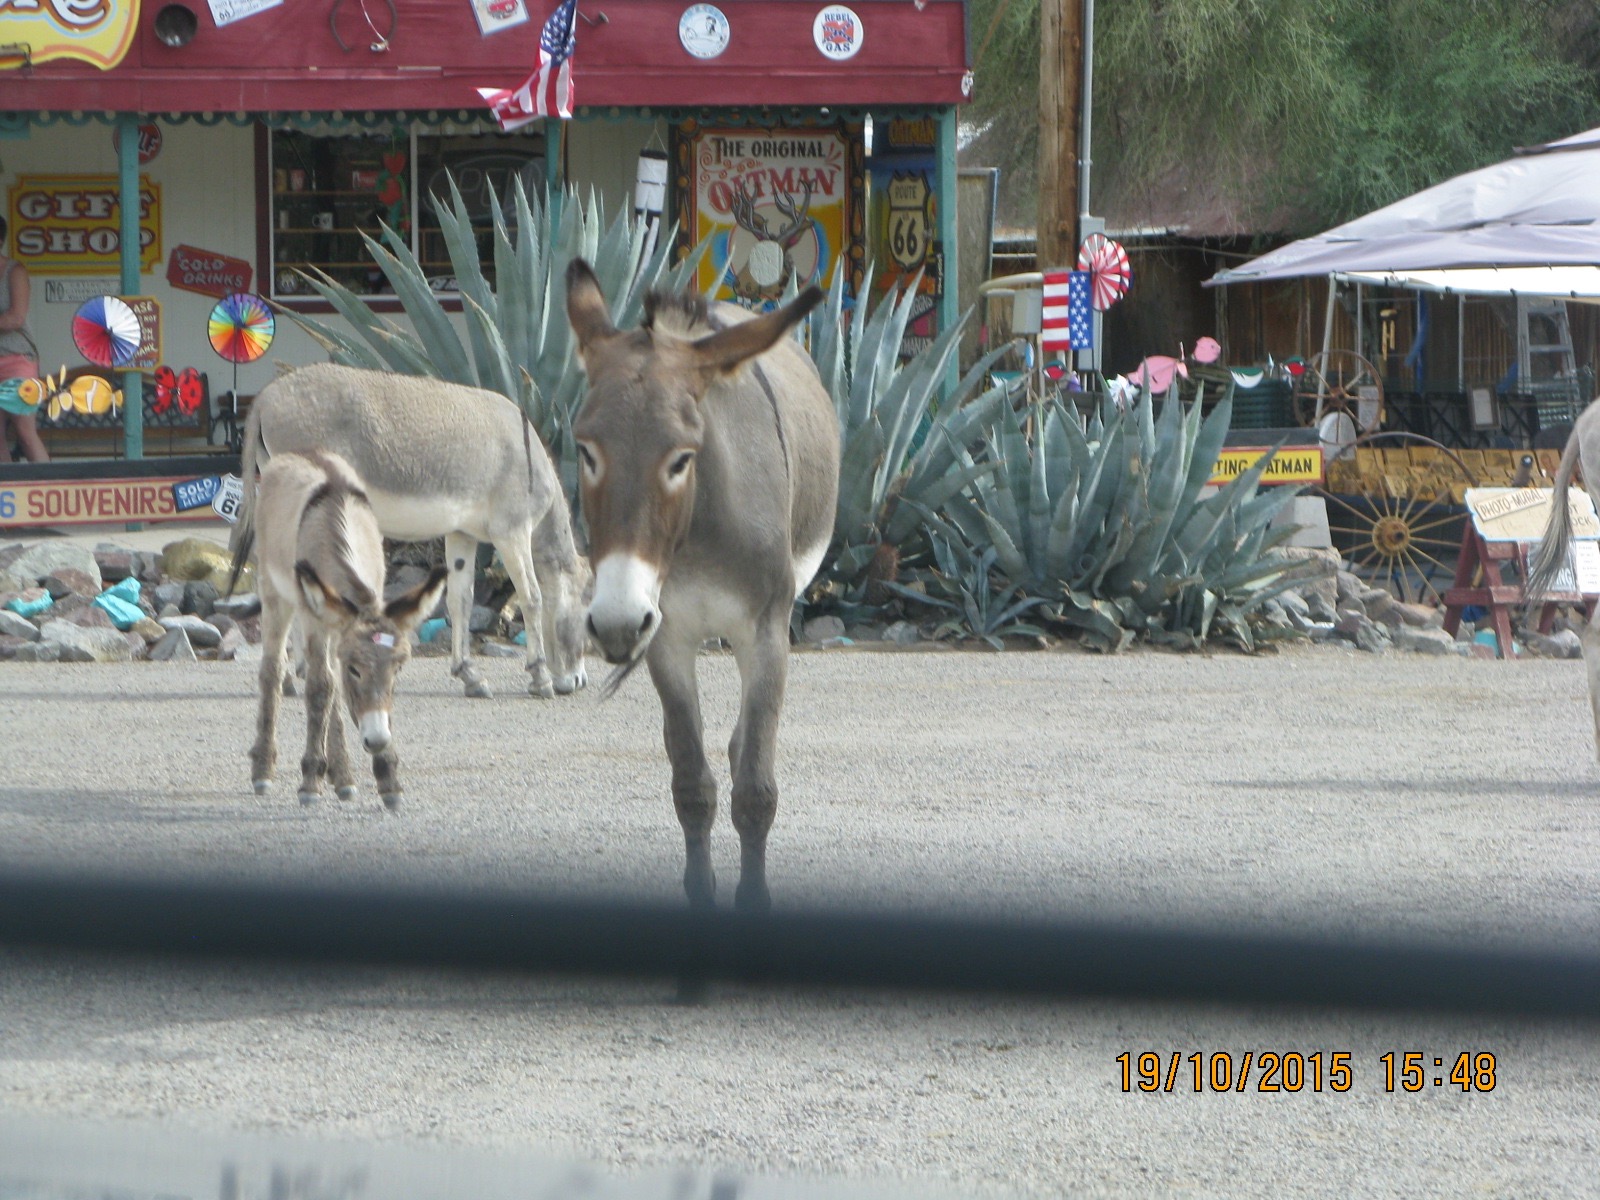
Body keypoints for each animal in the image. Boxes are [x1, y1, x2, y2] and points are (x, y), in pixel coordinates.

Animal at [233, 448, 444, 809]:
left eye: (399, 668)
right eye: (355, 670)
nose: (377, 740)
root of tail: (297, 453)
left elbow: (338, 689)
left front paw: (387, 779)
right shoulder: (315, 620)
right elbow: (320, 688)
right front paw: (309, 782)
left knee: (327, 677)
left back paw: (341, 775)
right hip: (276, 596)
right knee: (275, 669)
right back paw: (264, 769)